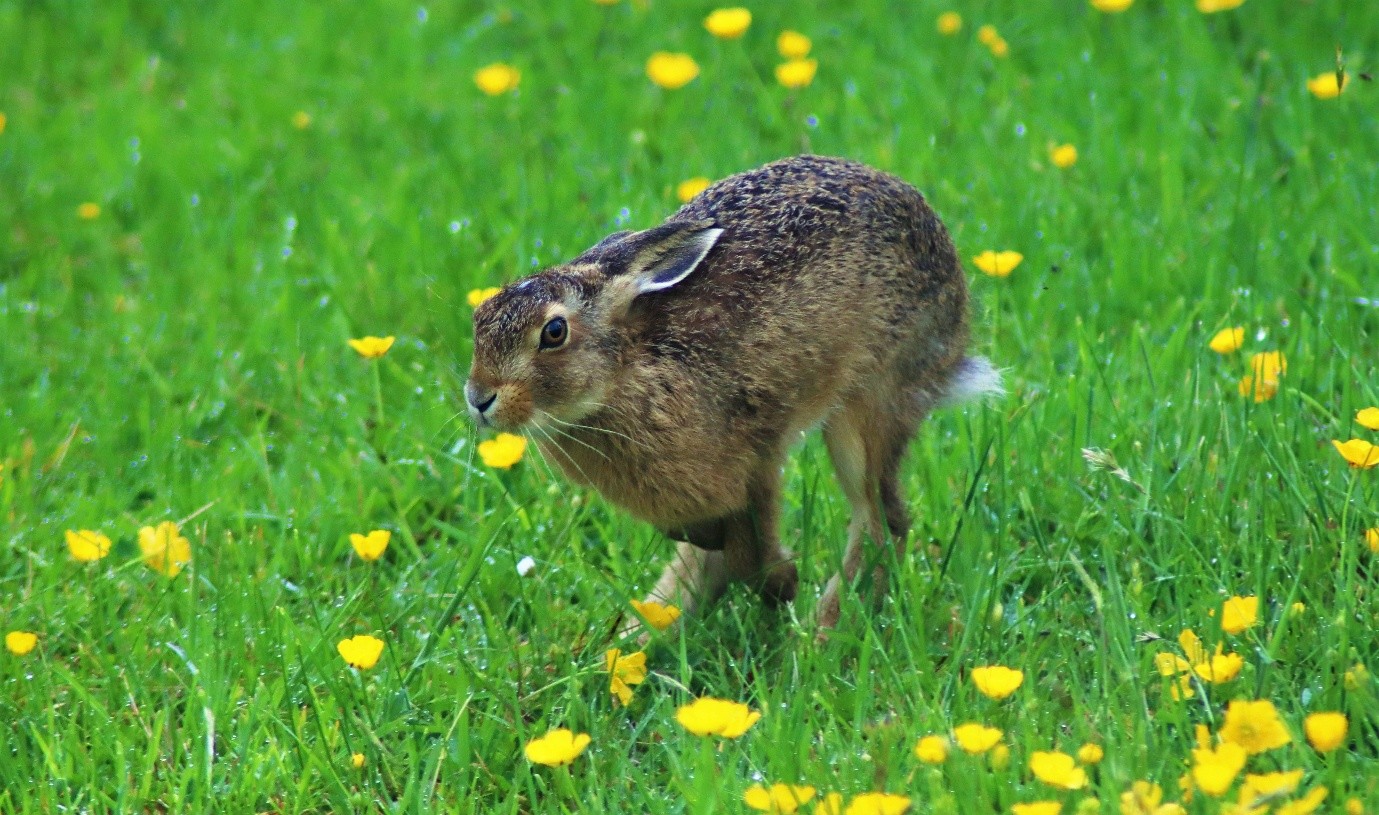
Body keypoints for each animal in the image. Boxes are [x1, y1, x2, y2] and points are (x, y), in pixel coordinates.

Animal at [466, 155, 1001, 634]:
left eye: (554, 332)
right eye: (480, 318)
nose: (478, 397)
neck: (626, 373)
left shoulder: (758, 448)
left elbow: (752, 543)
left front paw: (783, 583)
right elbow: (714, 543)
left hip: (871, 403)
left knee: (880, 520)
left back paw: (824, 633)